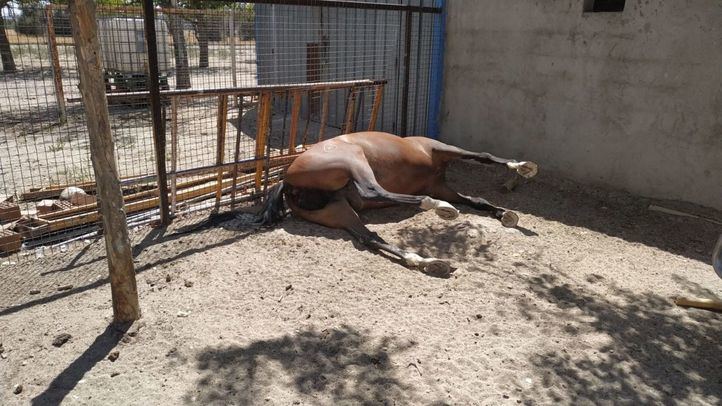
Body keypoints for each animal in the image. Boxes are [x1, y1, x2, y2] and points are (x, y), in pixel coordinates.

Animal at [249, 131, 538, 277]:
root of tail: (287, 181)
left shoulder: (440, 185)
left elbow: (477, 200)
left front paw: (505, 215)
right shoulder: (444, 152)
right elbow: (483, 156)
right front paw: (524, 167)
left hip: (338, 211)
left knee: (369, 237)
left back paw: (426, 261)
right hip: (354, 161)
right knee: (371, 191)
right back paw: (439, 209)